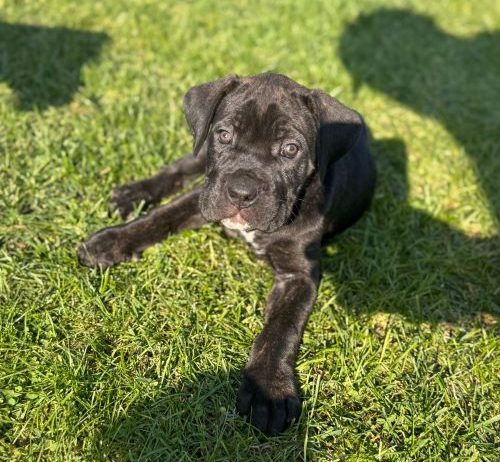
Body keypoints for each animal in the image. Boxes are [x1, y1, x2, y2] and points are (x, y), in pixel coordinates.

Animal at [77, 73, 376, 436]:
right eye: (224, 135)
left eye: (290, 149)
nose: (241, 192)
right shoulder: (203, 194)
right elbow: (161, 216)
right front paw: (110, 242)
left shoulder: (299, 275)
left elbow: (280, 329)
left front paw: (268, 391)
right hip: (200, 152)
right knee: (181, 166)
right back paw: (133, 194)